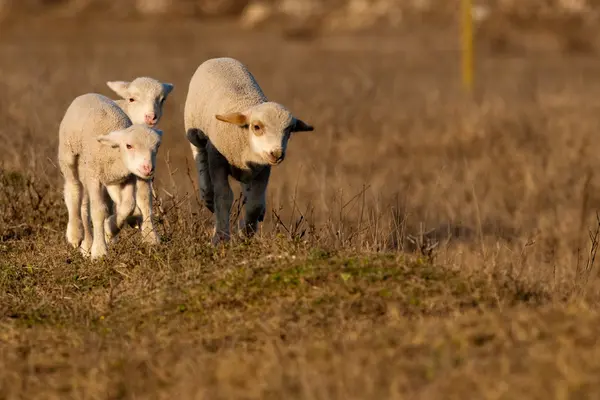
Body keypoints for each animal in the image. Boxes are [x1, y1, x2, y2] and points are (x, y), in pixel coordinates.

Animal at [57, 94, 163, 262]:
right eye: (129, 146)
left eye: (157, 146)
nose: (148, 168)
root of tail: (88, 94)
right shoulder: (94, 177)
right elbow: (98, 211)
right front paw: (99, 251)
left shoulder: (127, 178)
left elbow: (128, 205)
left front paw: (111, 227)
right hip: (69, 155)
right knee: (74, 190)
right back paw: (76, 235)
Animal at [106, 76, 173, 242]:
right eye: (132, 99)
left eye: (162, 99)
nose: (150, 116)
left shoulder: (144, 169)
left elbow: (144, 198)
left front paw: (151, 236)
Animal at [183, 55, 314, 244]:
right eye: (257, 127)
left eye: (289, 130)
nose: (277, 153)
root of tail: (220, 58)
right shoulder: (217, 160)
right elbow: (223, 197)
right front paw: (221, 237)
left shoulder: (262, 169)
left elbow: (254, 204)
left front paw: (245, 235)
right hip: (194, 132)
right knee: (200, 156)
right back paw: (207, 195)